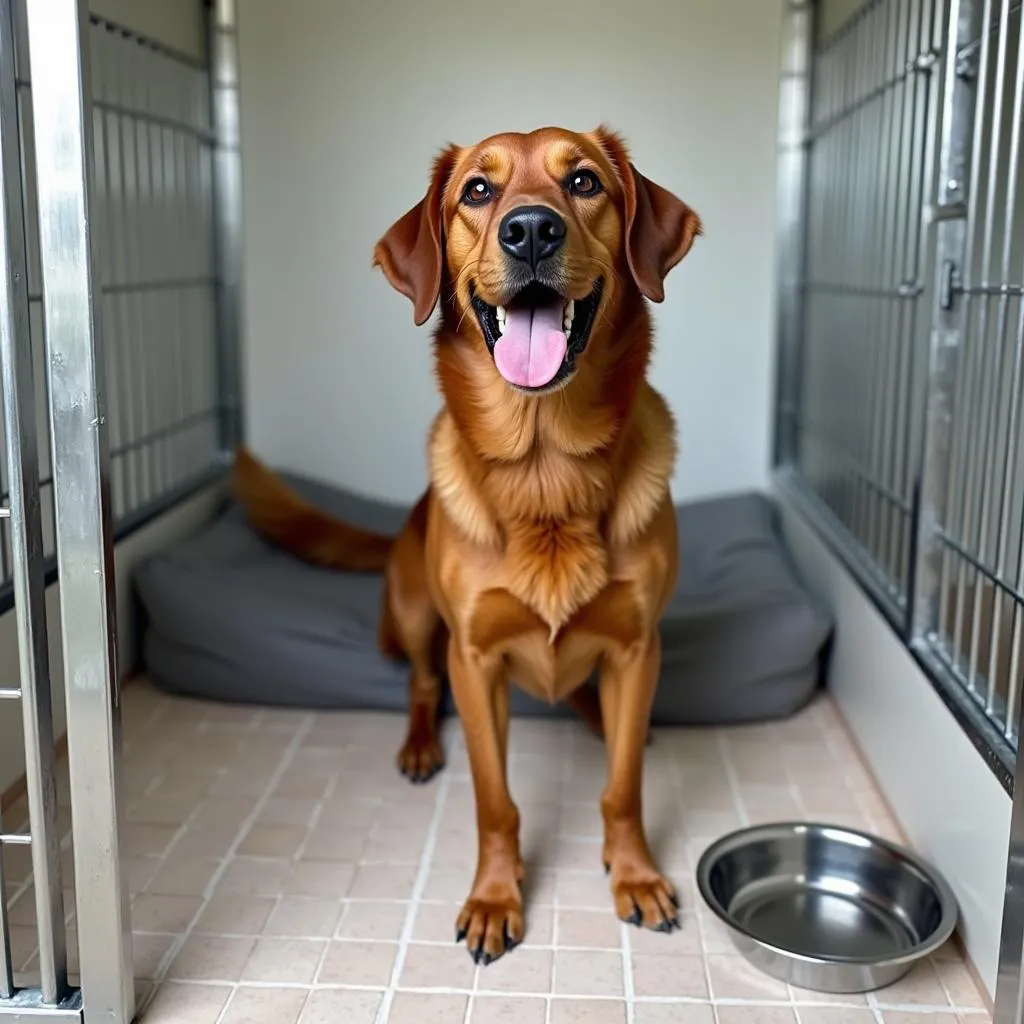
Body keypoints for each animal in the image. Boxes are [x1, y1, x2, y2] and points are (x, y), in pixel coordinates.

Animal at [233, 123, 700, 962]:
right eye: (477, 192)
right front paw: (494, 897)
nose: (532, 229)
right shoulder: (474, 659)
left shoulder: (636, 647)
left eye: (583, 182)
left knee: (591, 705)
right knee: (420, 687)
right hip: (419, 617)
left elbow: (620, 790)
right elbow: (495, 801)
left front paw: (635, 874)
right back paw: (420, 746)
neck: (546, 471)